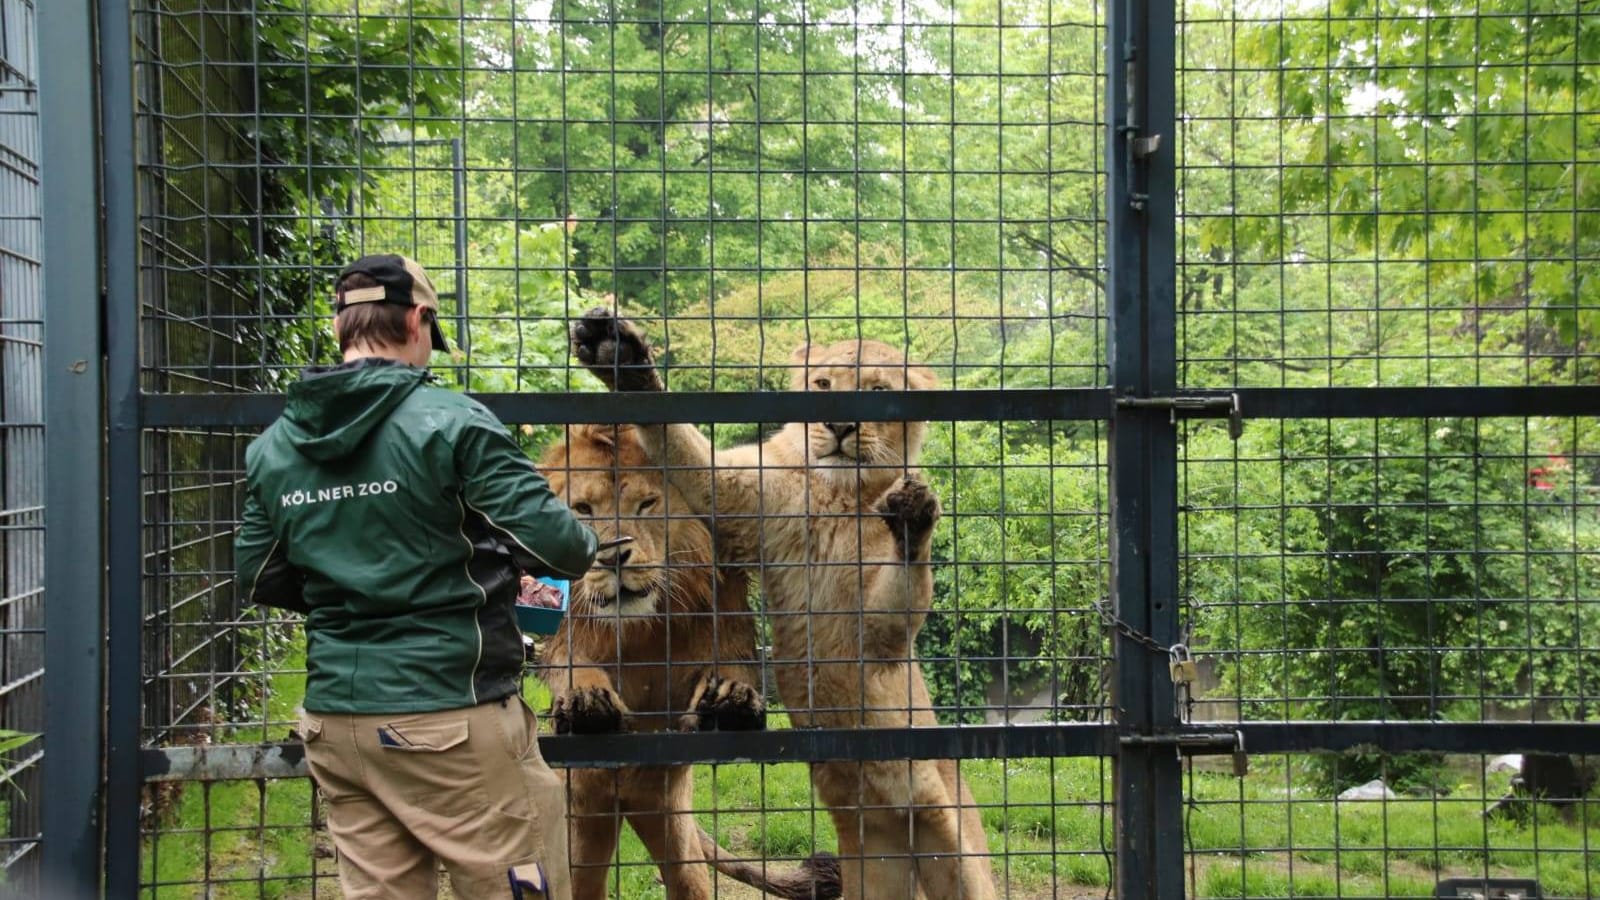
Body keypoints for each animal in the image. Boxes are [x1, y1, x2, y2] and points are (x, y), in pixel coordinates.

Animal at [534, 422, 838, 896]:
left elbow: (730, 670)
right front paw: (586, 702)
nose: (611, 557)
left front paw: (733, 701)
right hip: (582, 823)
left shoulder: (726, 628)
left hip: (672, 821)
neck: (642, 628)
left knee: (687, 876)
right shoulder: (567, 638)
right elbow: (575, 666)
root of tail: (628, 800)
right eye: (583, 509)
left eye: (646, 505)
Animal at [576, 310, 992, 896]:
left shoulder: (878, 634)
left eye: (877, 392)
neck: (835, 495)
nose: (839, 428)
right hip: (874, 856)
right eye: (822, 385)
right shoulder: (740, 493)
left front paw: (914, 514)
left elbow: (897, 606)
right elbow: (682, 447)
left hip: (956, 844)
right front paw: (623, 359)